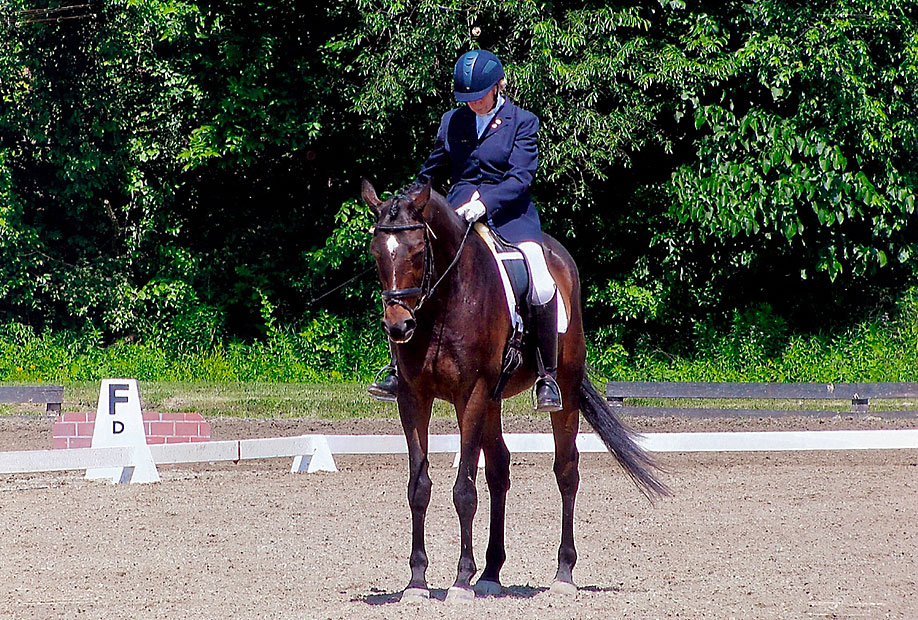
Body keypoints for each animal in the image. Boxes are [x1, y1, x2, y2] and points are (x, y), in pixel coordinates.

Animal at [362, 178, 669, 603]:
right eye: (377, 252)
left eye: (419, 251)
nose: (398, 326)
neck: (446, 299)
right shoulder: (413, 398)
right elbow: (419, 487)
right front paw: (417, 583)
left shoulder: (471, 394)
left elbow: (464, 492)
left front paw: (460, 581)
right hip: (493, 400)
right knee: (499, 471)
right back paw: (491, 573)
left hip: (562, 389)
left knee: (566, 470)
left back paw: (562, 574)